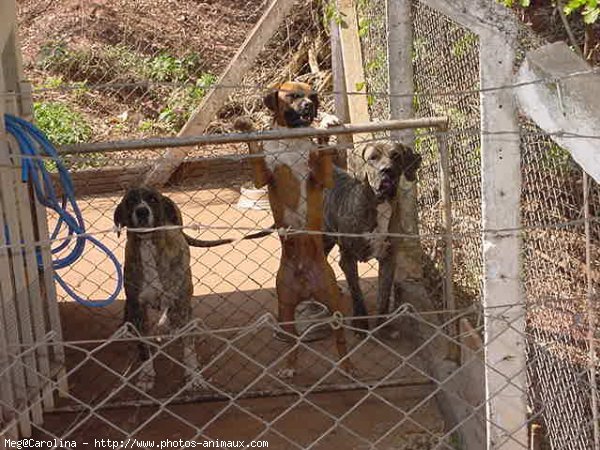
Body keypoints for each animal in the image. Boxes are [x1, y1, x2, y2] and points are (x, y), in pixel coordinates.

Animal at [234, 82, 356, 378]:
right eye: (293, 96)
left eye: (313, 96)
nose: (310, 107)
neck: (290, 139)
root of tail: (306, 285)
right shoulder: (262, 176)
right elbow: (255, 151)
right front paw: (245, 125)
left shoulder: (321, 178)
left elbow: (323, 151)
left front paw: (327, 123)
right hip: (286, 309)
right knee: (292, 343)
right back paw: (289, 367)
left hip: (332, 303)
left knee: (340, 340)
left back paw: (347, 366)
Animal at [324, 142, 422, 328]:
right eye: (372, 158)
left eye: (396, 155)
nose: (387, 170)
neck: (379, 203)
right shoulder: (348, 258)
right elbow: (356, 292)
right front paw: (361, 323)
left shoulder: (389, 259)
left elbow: (383, 296)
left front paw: (381, 326)